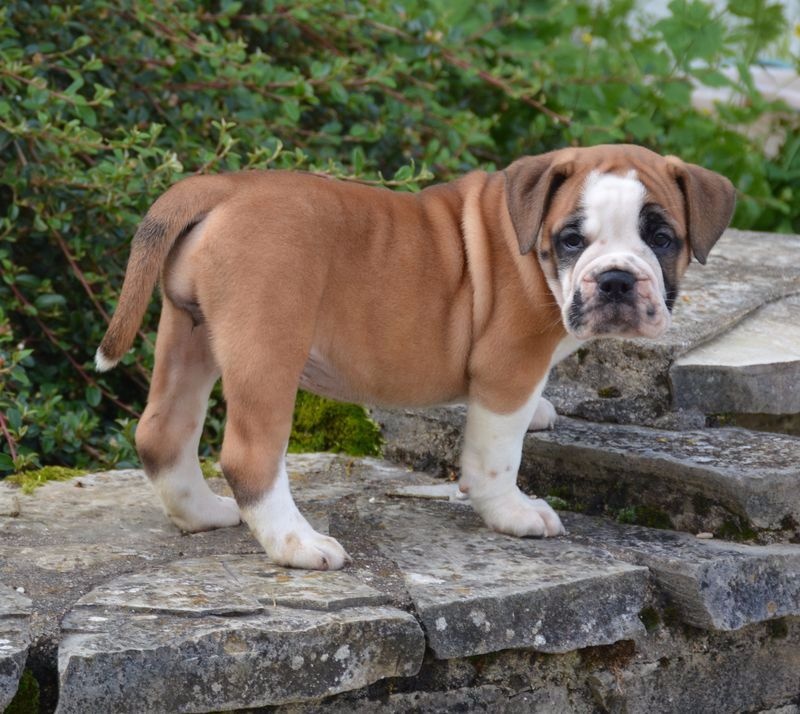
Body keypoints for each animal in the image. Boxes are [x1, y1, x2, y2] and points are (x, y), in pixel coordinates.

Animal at [92, 143, 732, 568]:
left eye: (662, 238)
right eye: (572, 240)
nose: (617, 280)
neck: (528, 244)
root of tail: (223, 187)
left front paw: (542, 411)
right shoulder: (508, 366)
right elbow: (496, 456)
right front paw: (513, 513)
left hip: (189, 333)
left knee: (163, 433)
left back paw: (204, 513)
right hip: (267, 347)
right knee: (250, 456)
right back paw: (297, 544)